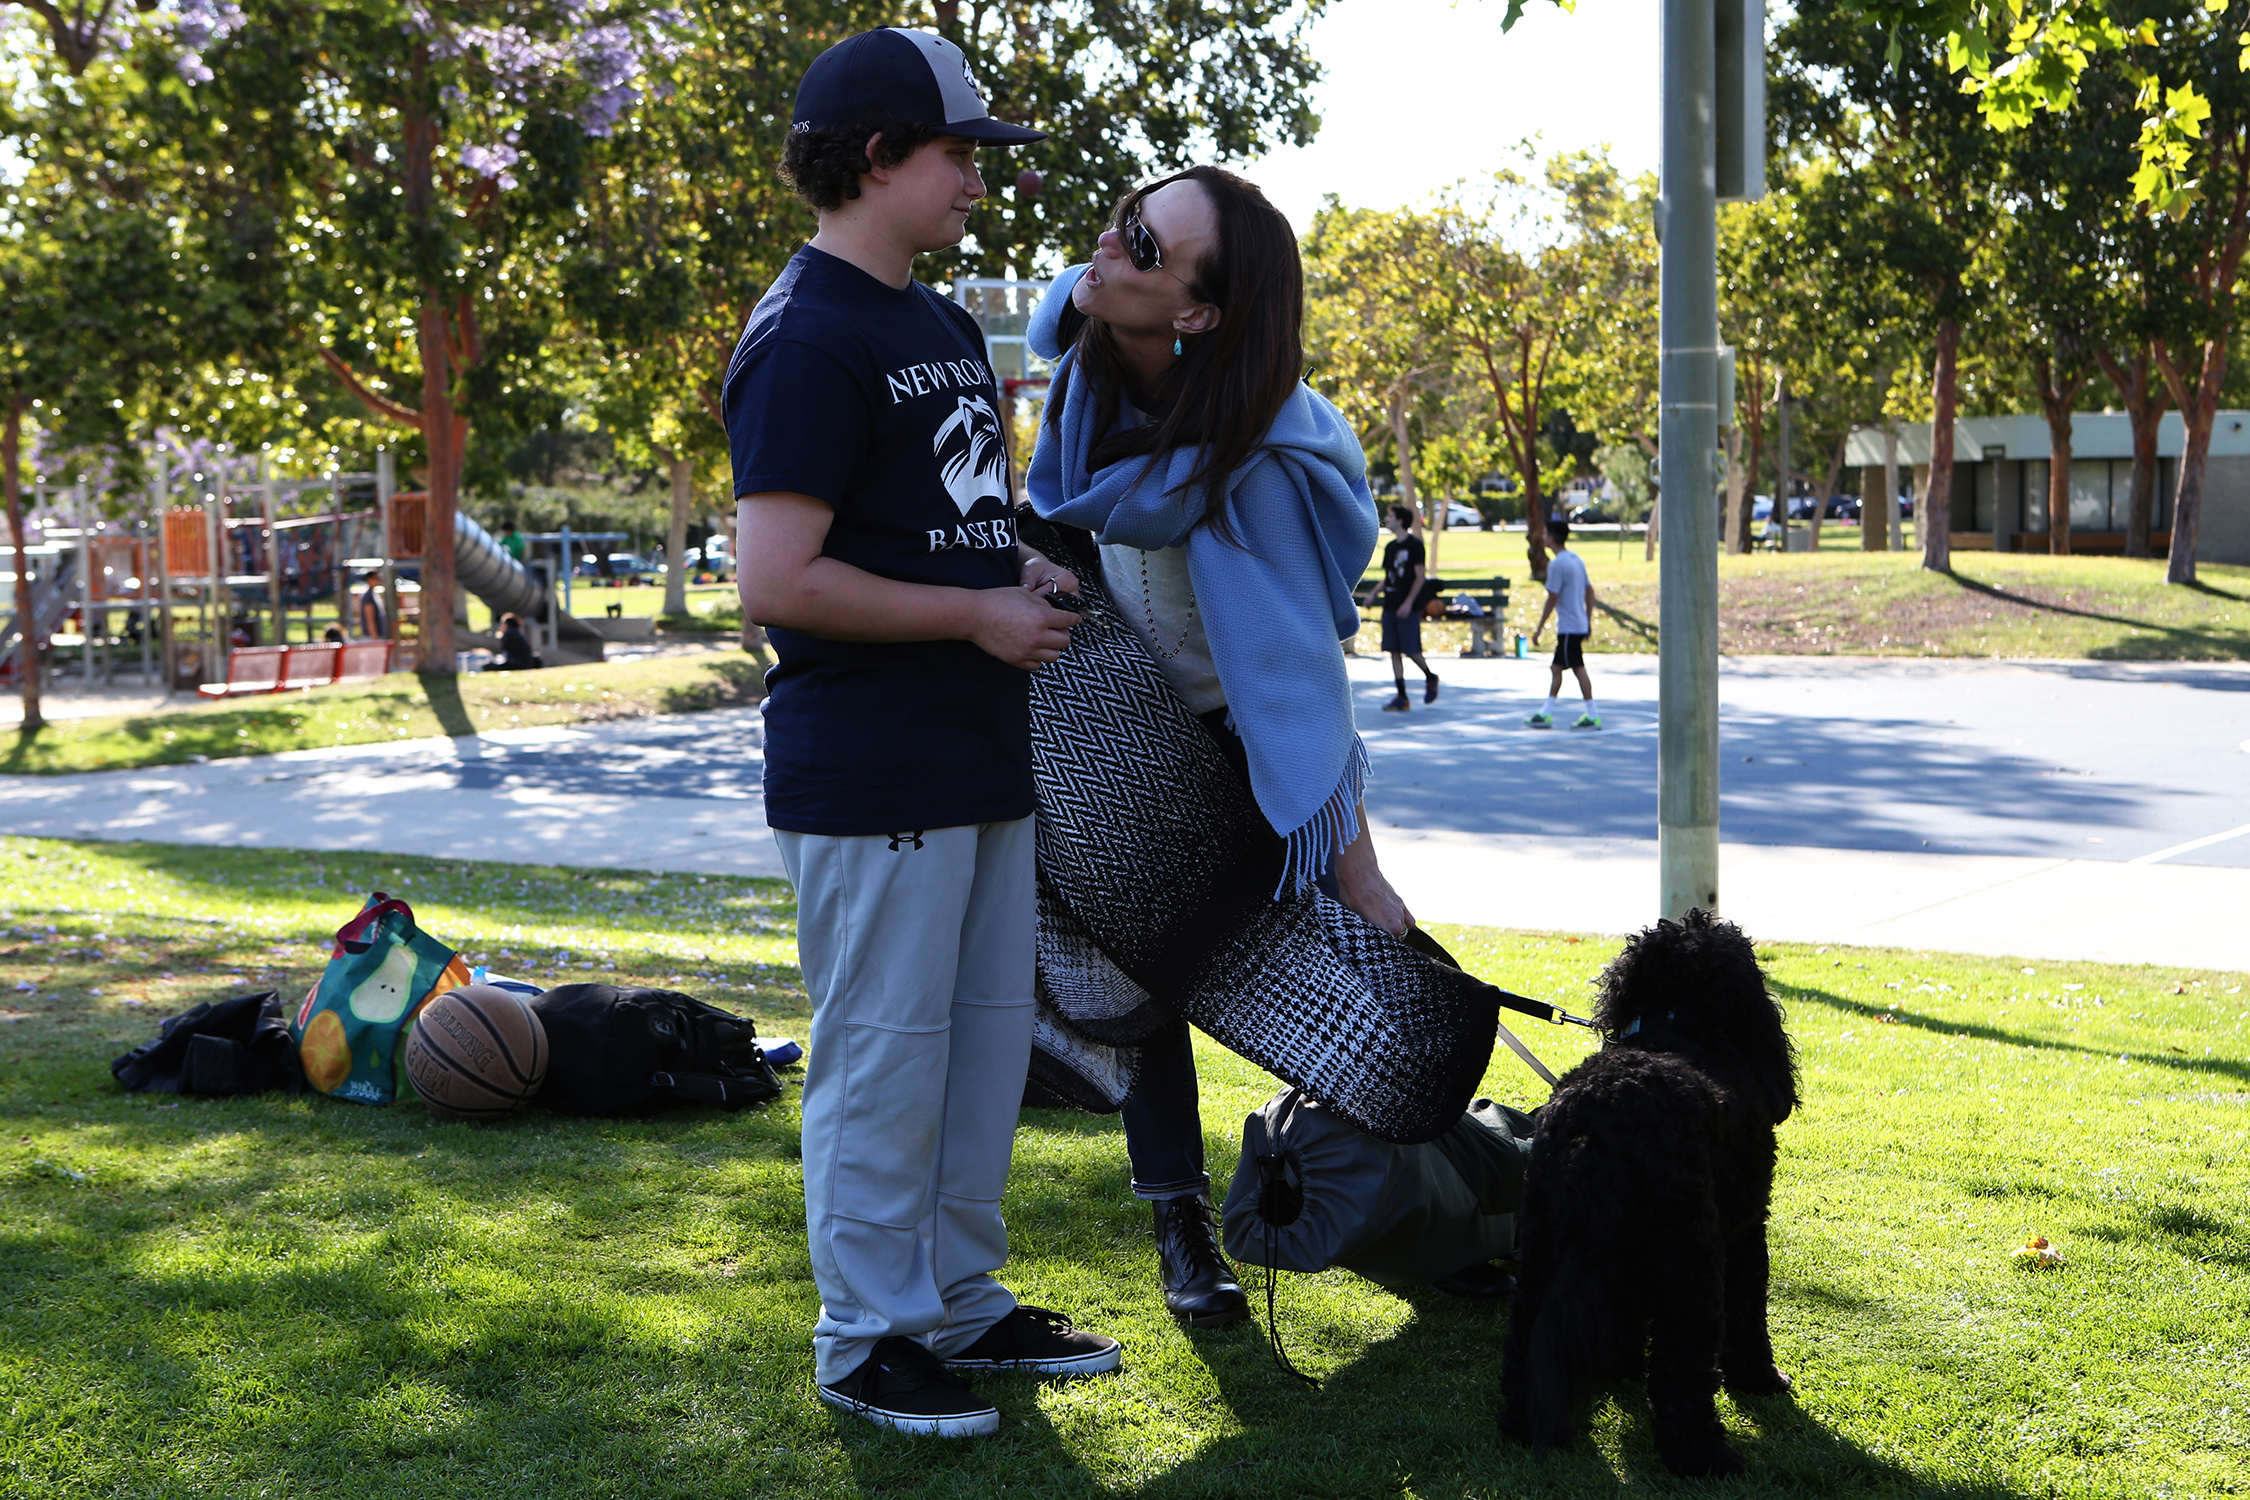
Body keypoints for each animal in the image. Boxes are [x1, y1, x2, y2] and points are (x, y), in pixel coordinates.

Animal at [1503, 908, 1800, 1475]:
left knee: (1525, 1337)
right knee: (1682, 1371)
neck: (1676, 1026)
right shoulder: (1745, 1231)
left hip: (1542, 1244)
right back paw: (1703, 1456)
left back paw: (1527, 1424)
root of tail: (1595, 1126)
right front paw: (1761, 1379)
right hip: (1690, 1260)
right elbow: (1749, 1316)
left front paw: (1618, 1366)